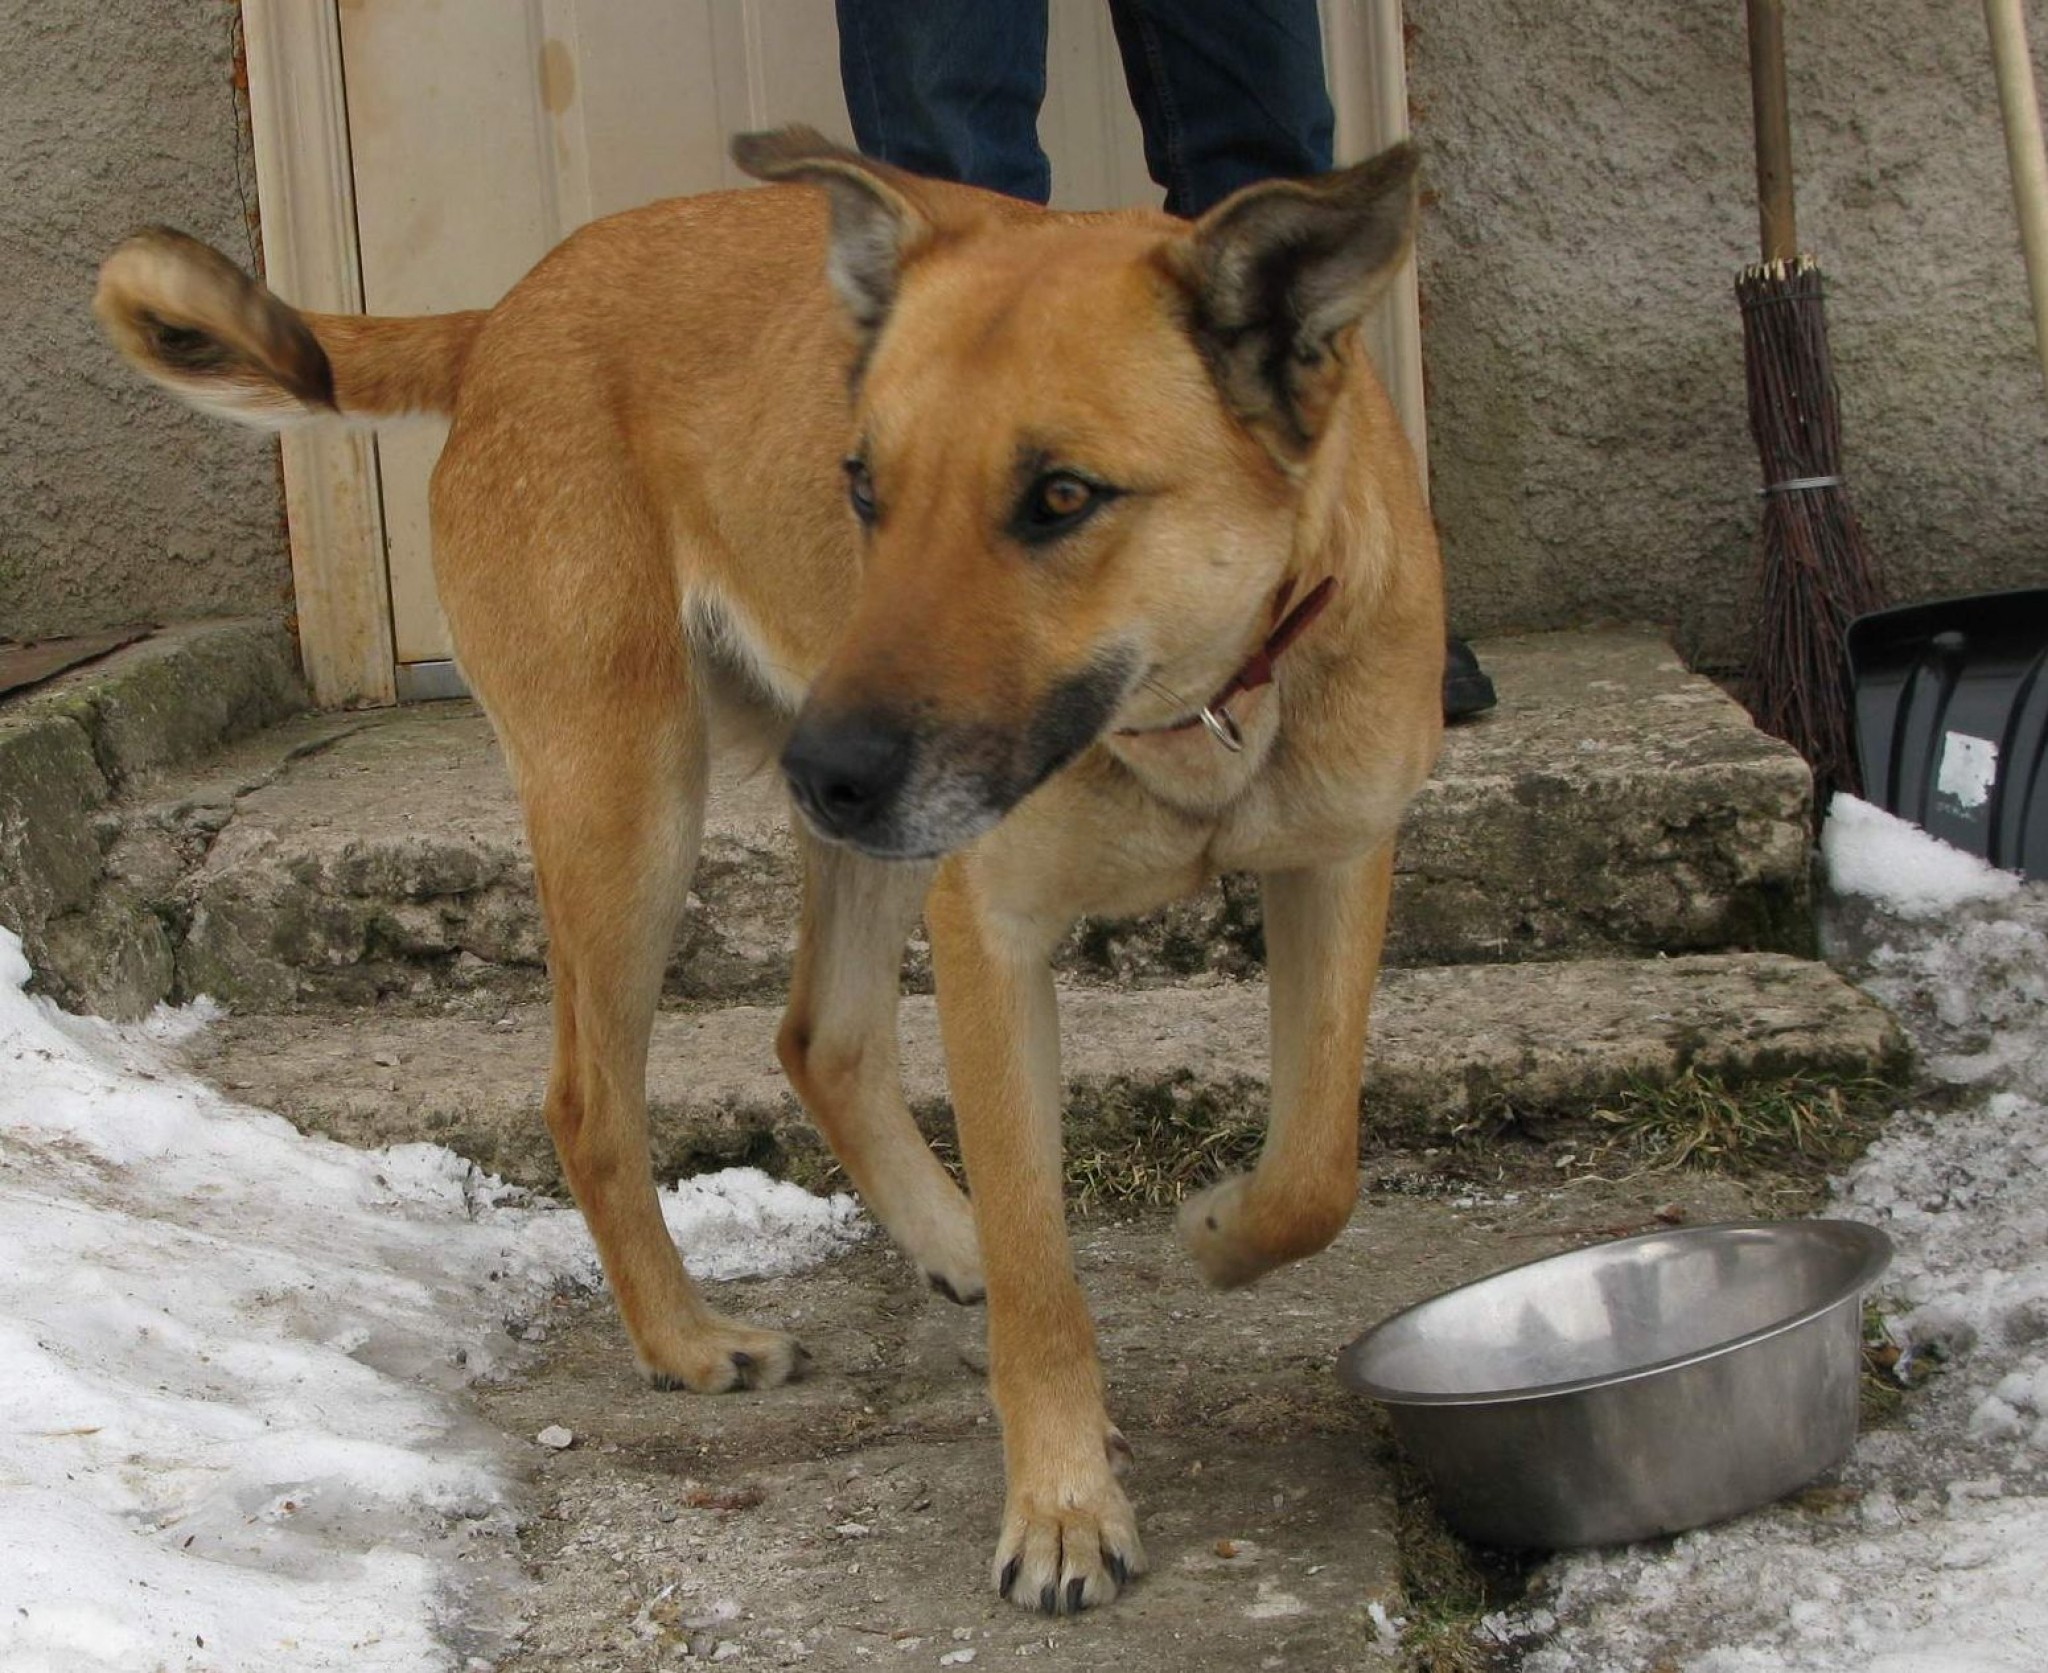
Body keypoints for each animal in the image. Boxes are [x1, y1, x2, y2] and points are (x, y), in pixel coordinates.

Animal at [96, 130, 1441, 1621]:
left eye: (1062, 498)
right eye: (865, 489)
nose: (826, 770)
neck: (1196, 710)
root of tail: (505, 314)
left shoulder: (1338, 863)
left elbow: (1316, 1166)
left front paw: (1215, 1233)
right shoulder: (991, 933)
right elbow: (1046, 1276)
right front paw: (1063, 1505)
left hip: (824, 833)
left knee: (821, 1036)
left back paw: (950, 1234)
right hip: (629, 798)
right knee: (591, 1095)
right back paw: (687, 1337)